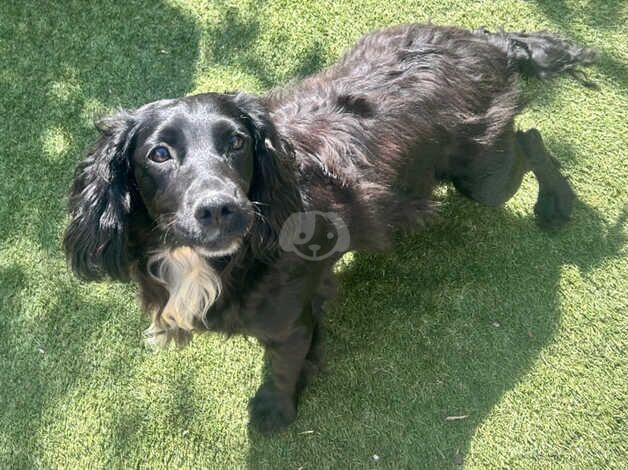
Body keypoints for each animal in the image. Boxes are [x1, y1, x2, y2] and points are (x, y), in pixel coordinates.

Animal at [65, 23, 600, 432]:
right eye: (159, 153)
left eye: (237, 142)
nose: (219, 209)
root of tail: (487, 42)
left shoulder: (288, 322)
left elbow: (282, 366)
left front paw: (275, 410)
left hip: (484, 178)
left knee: (531, 139)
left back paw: (557, 203)